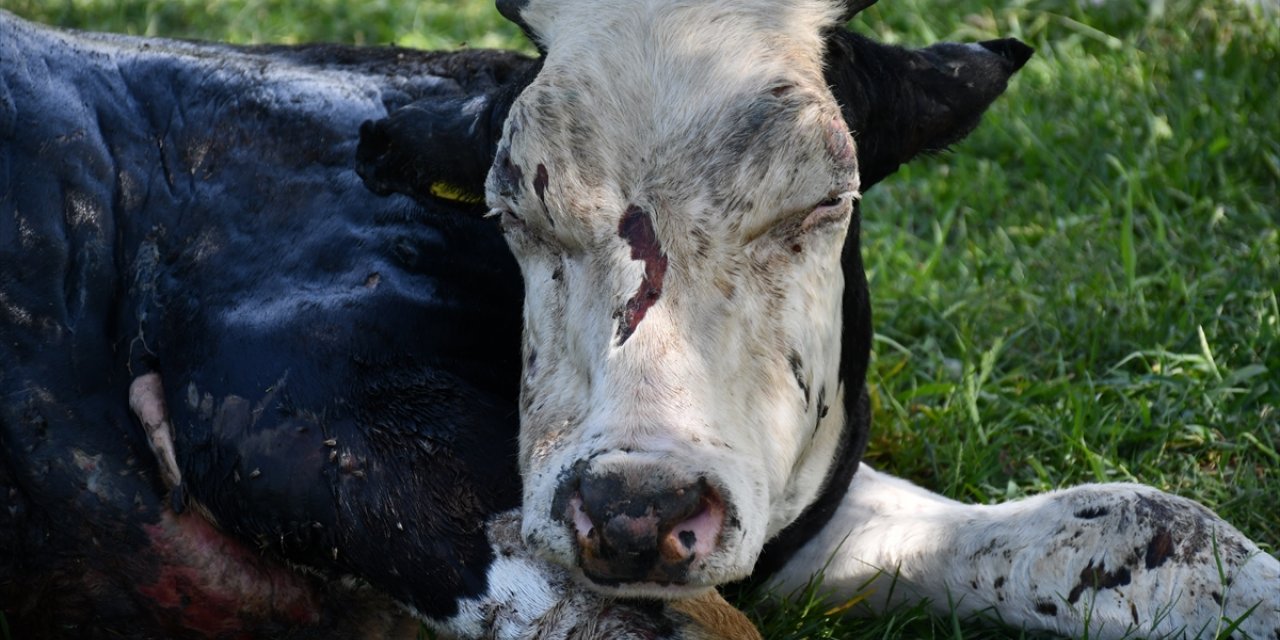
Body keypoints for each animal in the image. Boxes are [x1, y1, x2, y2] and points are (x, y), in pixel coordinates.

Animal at [2, 1, 1280, 640]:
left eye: (822, 205)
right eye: (512, 205)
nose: (636, 508)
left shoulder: (768, 498)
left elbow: (1149, 524)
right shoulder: (305, 413)